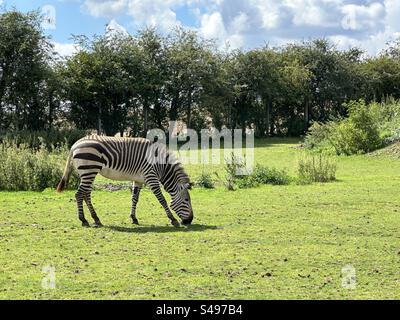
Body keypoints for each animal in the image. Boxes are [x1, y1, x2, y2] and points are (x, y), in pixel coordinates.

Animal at [56, 135, 194, 228]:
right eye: (186, 200)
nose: (190, 220)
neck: (160, 166)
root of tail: (75, 144)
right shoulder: (151, 178)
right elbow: (162, 199)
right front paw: (173, 220)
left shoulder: (138, 180)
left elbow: (134, 199)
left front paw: (134, 218)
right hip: (89, 170)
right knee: (79, 194)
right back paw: (83, 220)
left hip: (86, 173)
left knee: (86, 194)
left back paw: (96, 219)